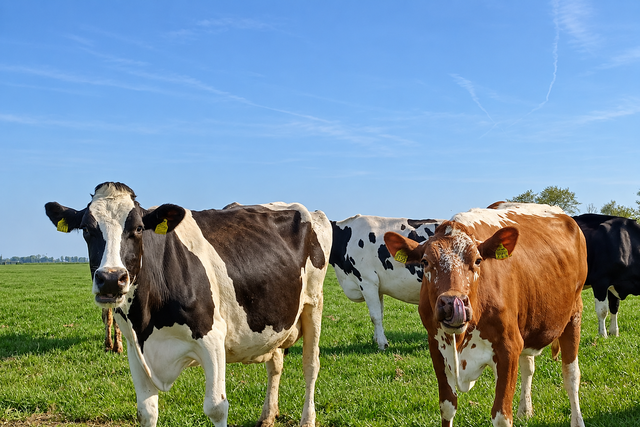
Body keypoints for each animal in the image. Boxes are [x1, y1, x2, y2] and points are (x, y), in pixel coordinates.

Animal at [44, 182, 331, 427]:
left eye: (138, 229)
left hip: (313, 303)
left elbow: (216, 407)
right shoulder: (135, 347)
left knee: (310, 365)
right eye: (86, 229)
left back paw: (308, 419)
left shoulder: (212, 337)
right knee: (275, 364)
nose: (112, 279)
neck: (148, 320)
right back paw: (267, 416)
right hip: (276, 319)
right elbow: (147, 411)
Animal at [329, 215, 442, 350]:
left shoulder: (367, 281)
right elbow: (380, 313)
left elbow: (375, 316)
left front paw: (382, 344)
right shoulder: (377, 288)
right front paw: (376, 339)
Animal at [384, 203, 588, 427]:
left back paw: (577, 419)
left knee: (571, 375)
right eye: (425, 261)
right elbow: (447, 407)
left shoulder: (508, 348)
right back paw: (525, 410)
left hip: (573, 315)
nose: (452, 303)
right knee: (528, 366)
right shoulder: (436, 347)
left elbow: (501, 416)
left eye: (478, 260)